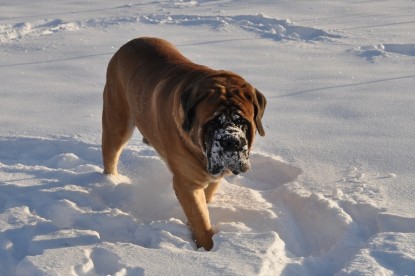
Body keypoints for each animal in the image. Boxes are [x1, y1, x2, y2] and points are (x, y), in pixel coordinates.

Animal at [102, 36, 268, 250]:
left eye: (242, 122)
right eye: (213, 123)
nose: (232, 141)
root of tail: (128, 44)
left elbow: (207, 195)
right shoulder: (187, 184)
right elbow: (201, 220)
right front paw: (208, 248)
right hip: (117, 123)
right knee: (110, 155)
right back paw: (111, 181)